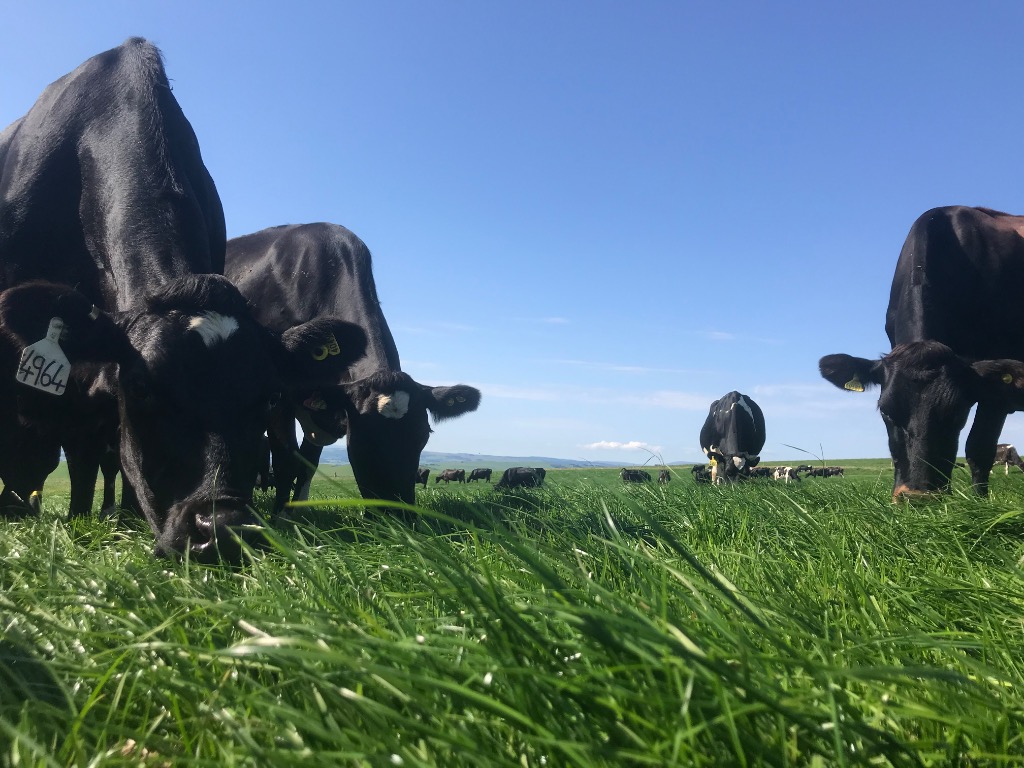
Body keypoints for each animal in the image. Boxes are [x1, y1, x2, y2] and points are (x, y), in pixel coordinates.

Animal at [224, 223, 481, 514]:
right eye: (362, 439)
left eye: (423, 436)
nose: (398, 516)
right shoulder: (280, 397)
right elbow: (286, 462)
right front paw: (281, 518)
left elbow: (308, 464)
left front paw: (298, 513)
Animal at [819, 207, 1024, 498]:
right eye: (886, 412)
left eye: (957, 414)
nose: (916, 497)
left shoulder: (996, 390)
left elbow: (979, 448)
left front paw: (980, 503)